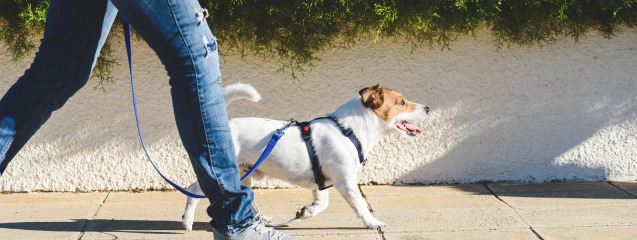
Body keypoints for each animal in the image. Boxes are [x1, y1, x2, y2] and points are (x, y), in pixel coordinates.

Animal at [179, 83, 428, 231]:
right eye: (401, 102)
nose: (427, 108)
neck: (349, 130)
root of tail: (225, 127)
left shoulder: (322, 182)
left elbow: (322, 203)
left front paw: (307, 212)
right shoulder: (345, 182)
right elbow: (361, 205)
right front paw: (373, 223)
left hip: (243, 174)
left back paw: (261, 220)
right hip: (222, 172)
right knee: (193, 190)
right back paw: (188, 221)